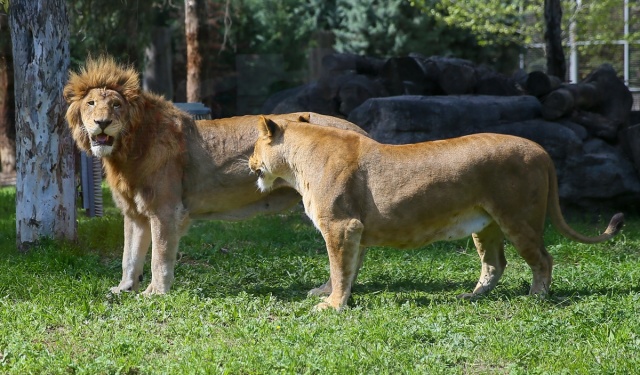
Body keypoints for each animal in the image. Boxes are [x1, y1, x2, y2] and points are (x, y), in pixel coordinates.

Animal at [63, 56, 370, 296]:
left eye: (116, 105)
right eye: (91, 103)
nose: (102, 122)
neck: (126, 149)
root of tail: (361, 130)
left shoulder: (166, 210)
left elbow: (159, 256)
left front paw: (155, 292)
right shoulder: (135, 212)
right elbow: (129, 256)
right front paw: (124, 288)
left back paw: (328, 290)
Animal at [250, 117, 624, 312]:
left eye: (254, 146)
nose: (250, 163)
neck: (299, 161)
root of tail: (541, 150)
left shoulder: (341, 227)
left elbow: (339, 269)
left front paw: (332, 306)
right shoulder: (354, 231)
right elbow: (348, 269)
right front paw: (332, 296)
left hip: (518, 218)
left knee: (543, 259)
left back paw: (536, 298)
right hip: (486, 224)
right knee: (495, 263)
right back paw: (471, 296)